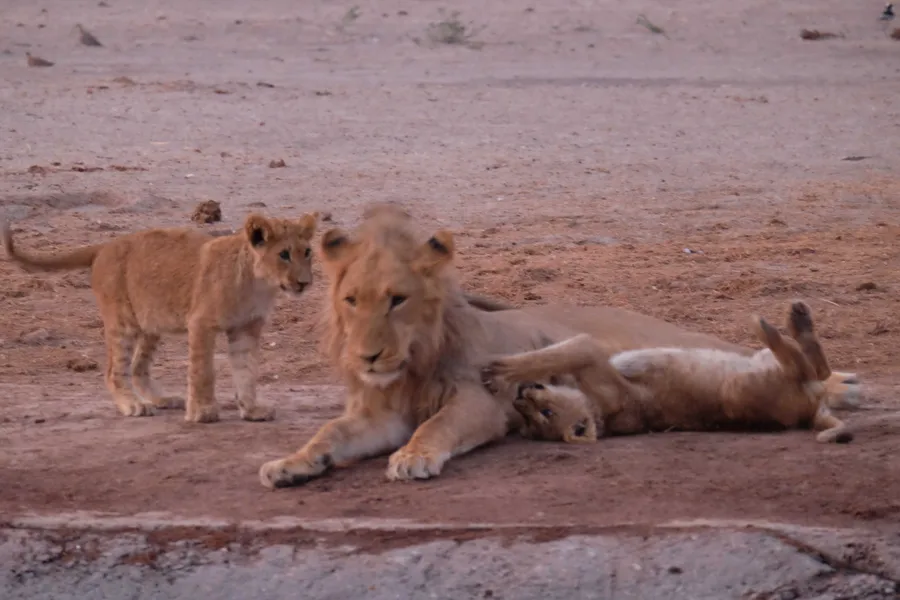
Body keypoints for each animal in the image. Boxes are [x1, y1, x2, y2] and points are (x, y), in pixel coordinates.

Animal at [2, 212, 318, 423]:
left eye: (307, 252)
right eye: (284, 254)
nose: (304, 283)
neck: (259, 283)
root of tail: (105, 246)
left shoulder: (246, 328)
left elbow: (246, 371)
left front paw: (252, 410)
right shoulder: (201, 323)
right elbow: (203, 371)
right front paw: (203, 412)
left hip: (151, 324)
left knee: (138, 368)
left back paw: (163, 399)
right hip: (123, 322)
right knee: (114, 370)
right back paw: (133, 406)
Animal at [485, 301, 853, 444]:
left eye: (546, 412)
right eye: (535, 419)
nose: (522, 397)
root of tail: (811, 411)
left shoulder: (591, 354)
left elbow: (554, 354)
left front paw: (499, 370)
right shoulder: (590, 354)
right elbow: (557, 354)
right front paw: (500, 372)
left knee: (815, 366)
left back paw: (790, 322)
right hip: (747, 385)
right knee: (808, 366)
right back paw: (777, 326)